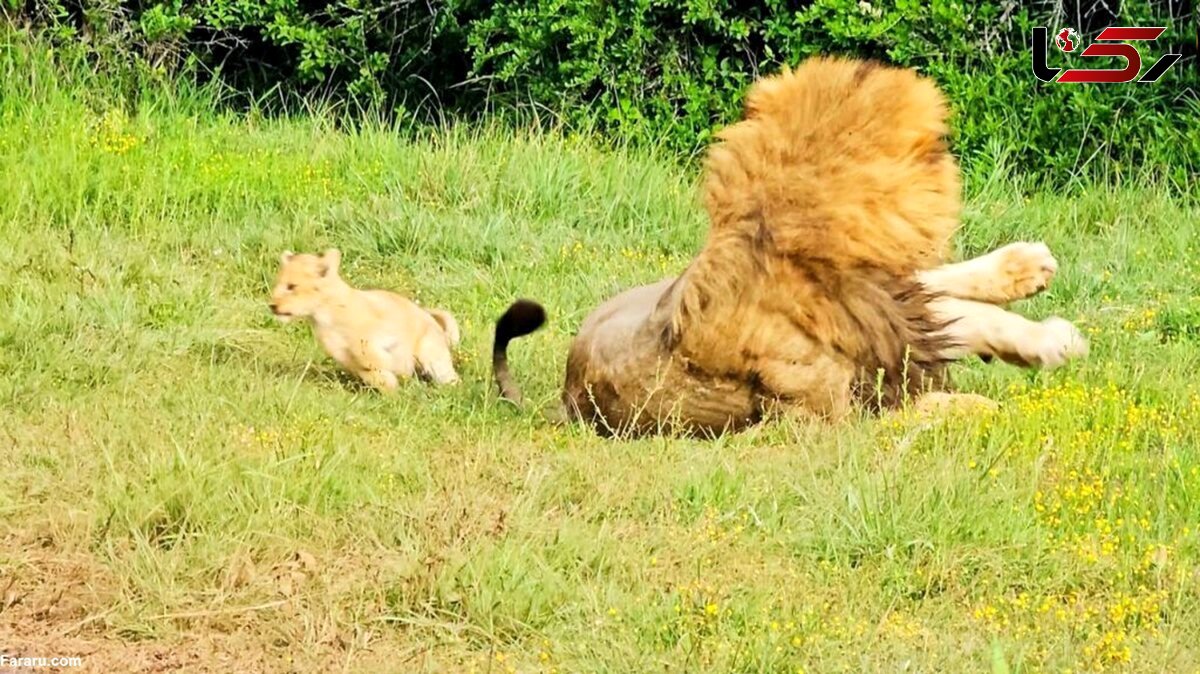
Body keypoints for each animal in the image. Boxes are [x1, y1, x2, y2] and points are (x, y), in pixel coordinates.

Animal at [487, 56, 1089, 436]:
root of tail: (565, 396)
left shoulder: (880, 316)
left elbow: (959, 321)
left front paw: (1045, 340)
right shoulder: (817, 417)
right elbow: (926, 405)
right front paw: (990, 407)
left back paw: (1029, 268)